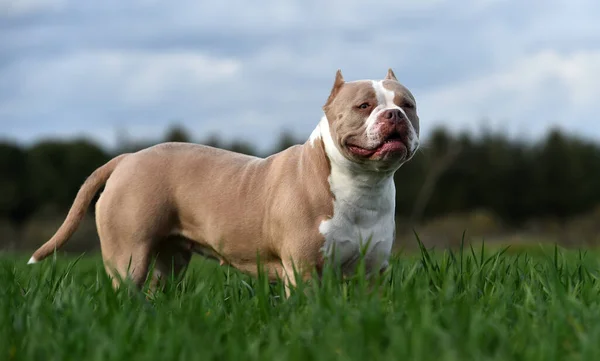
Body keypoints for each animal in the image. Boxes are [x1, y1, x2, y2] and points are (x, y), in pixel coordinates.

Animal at [28, 69, 420, 294]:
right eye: (363, 105)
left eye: (408, 104)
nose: (394, 115)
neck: (362, 185)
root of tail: (127, 158)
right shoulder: (304, 270)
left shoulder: (371, 273)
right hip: (128, 256)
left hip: (169, 259)